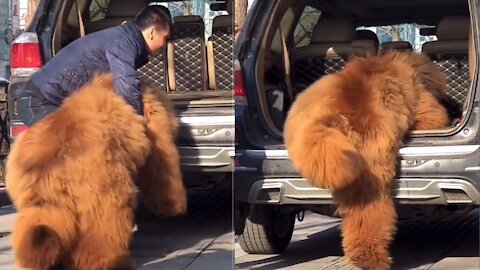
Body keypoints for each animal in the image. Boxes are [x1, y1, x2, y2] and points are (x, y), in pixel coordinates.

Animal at [6, 73, 186, 268]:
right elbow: (161, 167)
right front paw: (173, 205)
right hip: (102, 184)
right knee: (104, 225)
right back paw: (109, 261)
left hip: (38, 199)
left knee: (39, 226)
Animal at [284, 51, 448, 270]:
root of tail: (330, 115)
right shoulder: (422, 102)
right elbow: (432, 115)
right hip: (372, 165)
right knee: (369, 214)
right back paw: (372, 259)